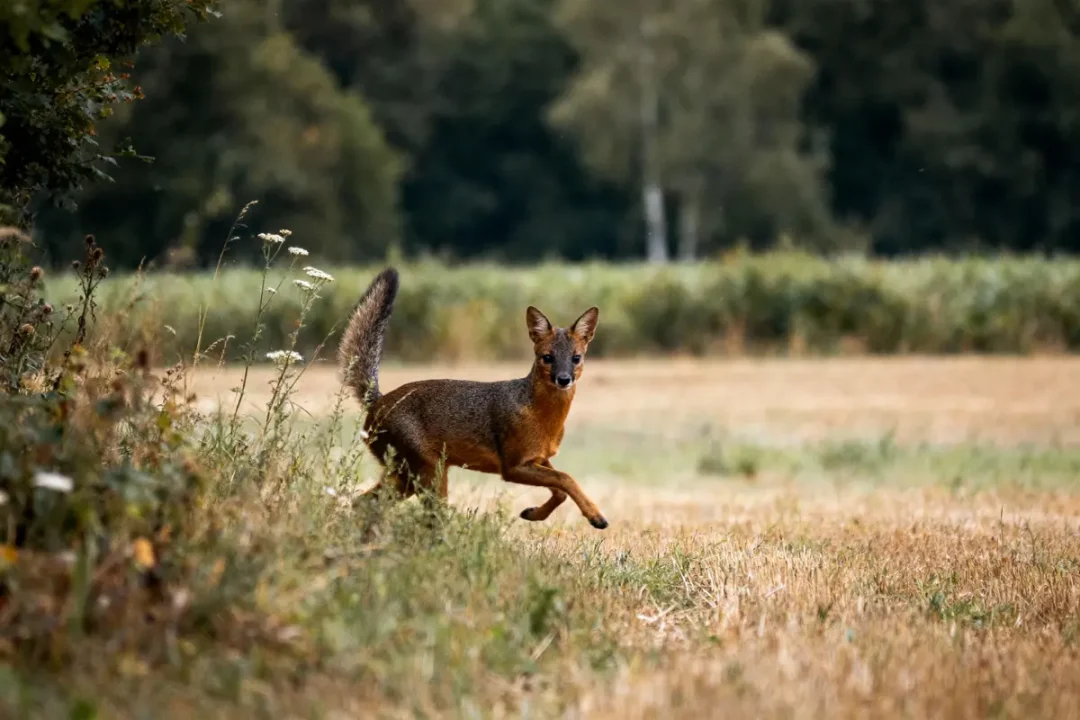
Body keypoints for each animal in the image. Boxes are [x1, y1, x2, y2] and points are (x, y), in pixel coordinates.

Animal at [337, 267, 609, 530]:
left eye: (576, 358)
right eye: (548, 358)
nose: (564, 379)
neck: (543, 416)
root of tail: (378, 400)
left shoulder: (538, 458)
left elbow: (560, 490)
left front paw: (534, 514)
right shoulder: (512, 466)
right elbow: (566, 478)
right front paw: (596, 516)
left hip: (406, 479)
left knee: (362, 503)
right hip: (428, 476)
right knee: (427, 517)